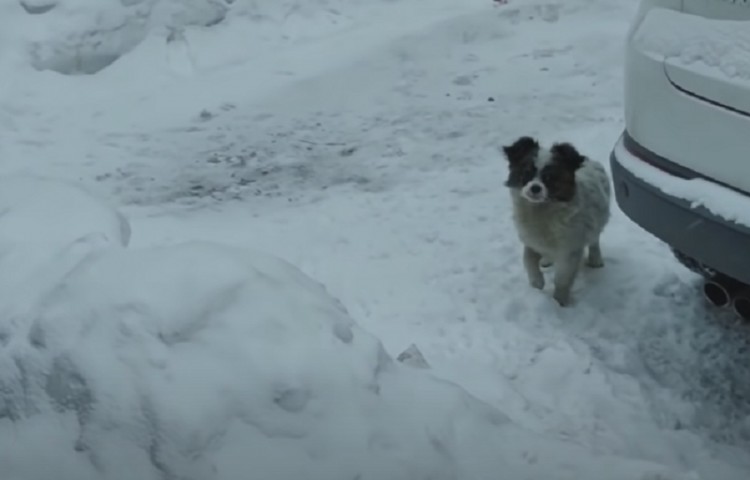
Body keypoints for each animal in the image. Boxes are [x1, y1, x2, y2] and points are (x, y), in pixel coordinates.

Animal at [502, 137, 612, 306]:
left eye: (550, 177)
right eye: (526, 173)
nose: (535, 188)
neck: (541, 209)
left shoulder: (569, 249)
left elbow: (562, 278)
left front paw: (559, 301)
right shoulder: (531, 239)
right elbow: (528, 258)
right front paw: (536, 282)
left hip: (598, 219)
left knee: (594, 239)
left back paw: (595, 259)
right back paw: (546, 260)